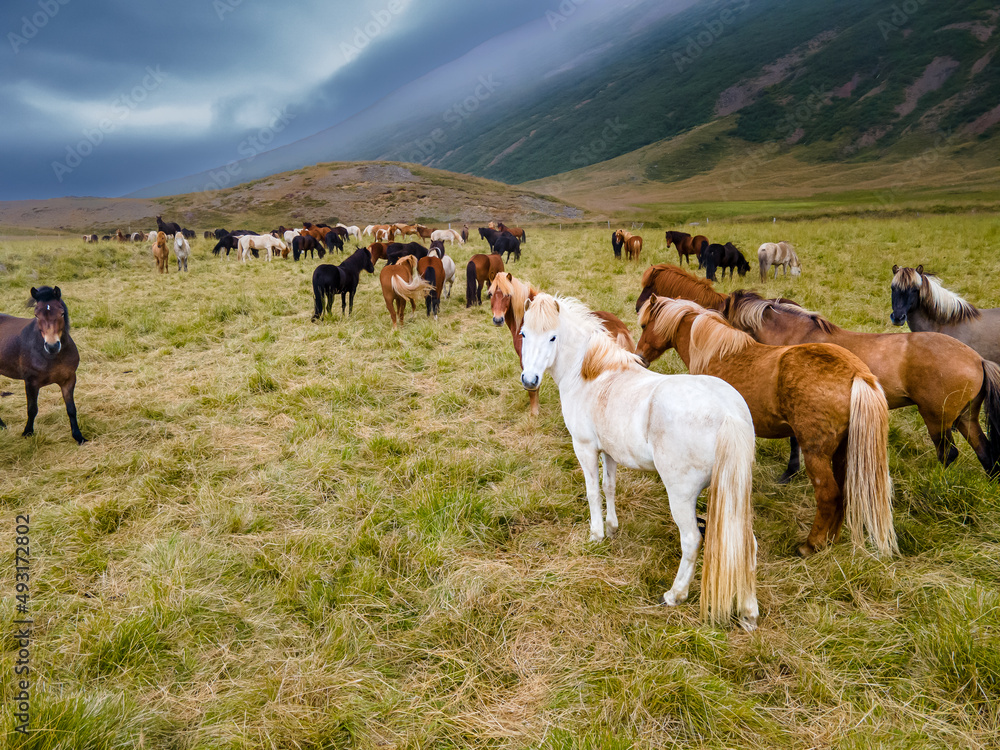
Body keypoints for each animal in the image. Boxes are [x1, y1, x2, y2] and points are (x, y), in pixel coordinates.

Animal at [0, 286, 85, 444]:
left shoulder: (68, 380)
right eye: (36, 315)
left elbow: (71, 409)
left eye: (62, 313)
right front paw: (27, 432)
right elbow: (32, 409)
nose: (52, 346)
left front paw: (78, 436)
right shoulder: (31, 382)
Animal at [489, 273, 634, 417]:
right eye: (490, 294)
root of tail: (620, 328)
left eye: (508, 295)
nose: (497, 319)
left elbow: (533, 390)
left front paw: (534, 413)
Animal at [519, 293, 758, 630]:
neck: (594, 375)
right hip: (733, 494)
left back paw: (675, 595)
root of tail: (728, 414)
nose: (530, 380)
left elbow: (593, 492)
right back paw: (749, 612)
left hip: (681, 496)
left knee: (691, 540)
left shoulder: (585, 449)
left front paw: (596, 535)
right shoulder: (609, 452)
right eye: (524, 334)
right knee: (746, 543)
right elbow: (609, 487)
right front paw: (612, 527)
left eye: (553, 337)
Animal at [636, 296, 896, 558]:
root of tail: (857, 374)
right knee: (844, 494)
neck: (714, 353)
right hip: (844, 452)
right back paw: (829, 540)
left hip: (817, 454)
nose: (639, 358)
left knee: (828, 496)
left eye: (644, 325)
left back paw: (810, 545)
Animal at [727, 290, 1000, 479]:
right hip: (965, 417)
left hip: (937, 419)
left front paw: (789, 473)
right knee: (985, 452)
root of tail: (978, 359)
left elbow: (794, 440)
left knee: (948, 454)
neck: (797, 339)